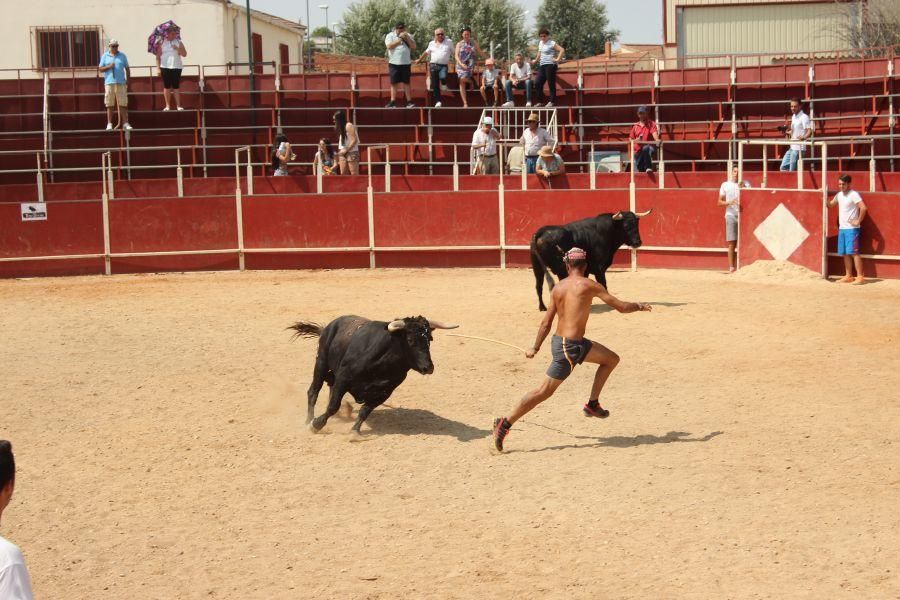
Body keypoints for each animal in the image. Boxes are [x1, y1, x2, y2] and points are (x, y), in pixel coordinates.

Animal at [288, 314, 458, 436]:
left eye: (430, 339)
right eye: (410, 339)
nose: (428, 367)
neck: (382, 363)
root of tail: (328, 327)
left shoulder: (384, 393)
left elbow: (365, 411)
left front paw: (354, 432)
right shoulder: (343, 379)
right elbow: (333, 406)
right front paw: (316, 425)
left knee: (329, 384)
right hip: (321, 362)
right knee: (313, 391)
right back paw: (309, 420)